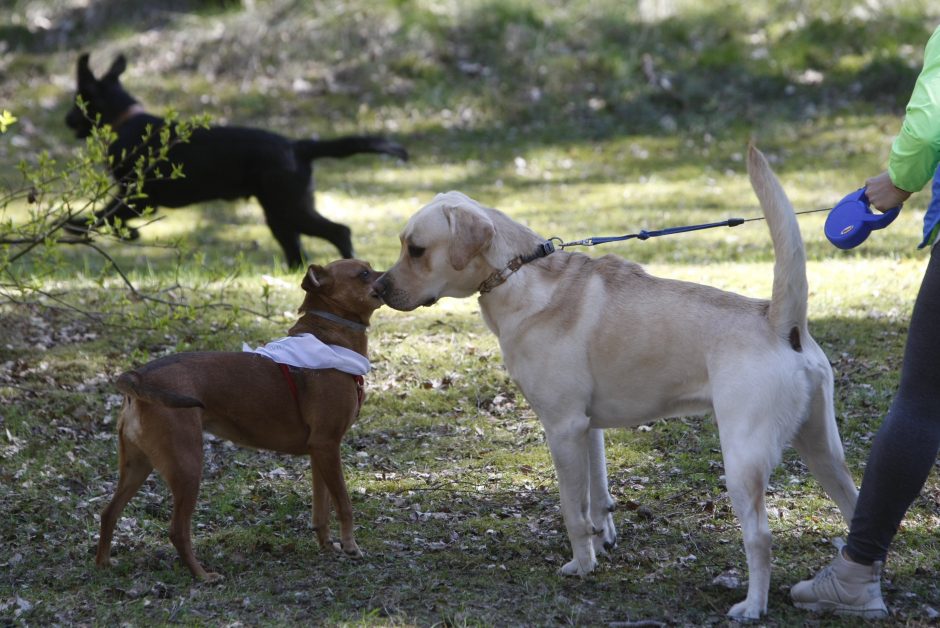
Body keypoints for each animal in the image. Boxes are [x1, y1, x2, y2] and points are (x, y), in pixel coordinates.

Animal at [65, 54, 404, 268]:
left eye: (77, 100)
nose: (66, 121)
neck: (123, 120)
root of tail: (297, 146)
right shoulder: (134, 199)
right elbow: (108, 217)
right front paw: (125, 233)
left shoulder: (137, 196)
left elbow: (101, 215)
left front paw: (78, 226)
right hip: (280, 213)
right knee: (299, 252)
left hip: (289, 208)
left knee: (340, 231)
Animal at [94, 258, 382, 580]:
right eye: (364, 273)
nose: (388, 277)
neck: (330, 339)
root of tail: (138, 376)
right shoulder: (328, 446)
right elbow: (344, 503)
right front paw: (350, 546)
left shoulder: (319, 451)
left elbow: (321, 509)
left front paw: (327, 546)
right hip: (187, 466)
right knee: (177, 530)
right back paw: (203, 575)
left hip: (137, 465)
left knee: (109, 512)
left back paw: (103, 563)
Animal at [374, 146, 860, 620]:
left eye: (415, 249)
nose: (377, 288)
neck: (516, 275)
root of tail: (780, 322)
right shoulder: (588, 428)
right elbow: (597, 496)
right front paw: (602, 538)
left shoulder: (563, 428)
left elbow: (572, 509)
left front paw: (582, 564)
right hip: (822, 451)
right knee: (854, 506)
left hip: (743, 460)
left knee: (760, 538)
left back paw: (752, 606)